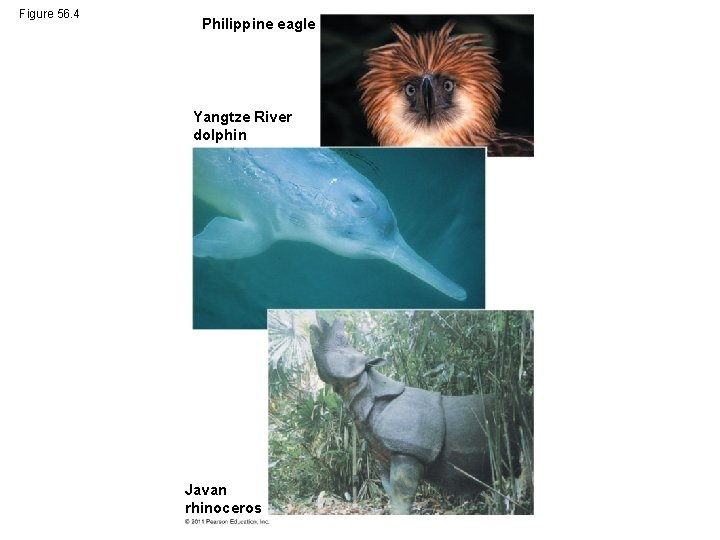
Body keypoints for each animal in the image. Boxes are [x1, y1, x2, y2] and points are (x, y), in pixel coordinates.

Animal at [310, 317, 530, 514]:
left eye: (342, 340)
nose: (313, 325)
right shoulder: (385, 458)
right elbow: (393, 498)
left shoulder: (407, 451)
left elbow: (402, 500)